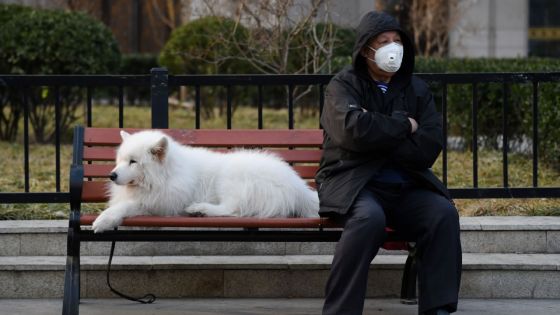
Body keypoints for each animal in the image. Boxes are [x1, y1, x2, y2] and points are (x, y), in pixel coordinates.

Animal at [92, 130, 320, 233]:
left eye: (133, 161)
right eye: (120, 160)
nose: (111, 175)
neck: (166, 174)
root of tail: (298, 186)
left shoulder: (161, 204)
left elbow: (126, 206)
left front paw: (104, 220)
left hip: (230, 178)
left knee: (232, 210)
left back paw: (200, 209)